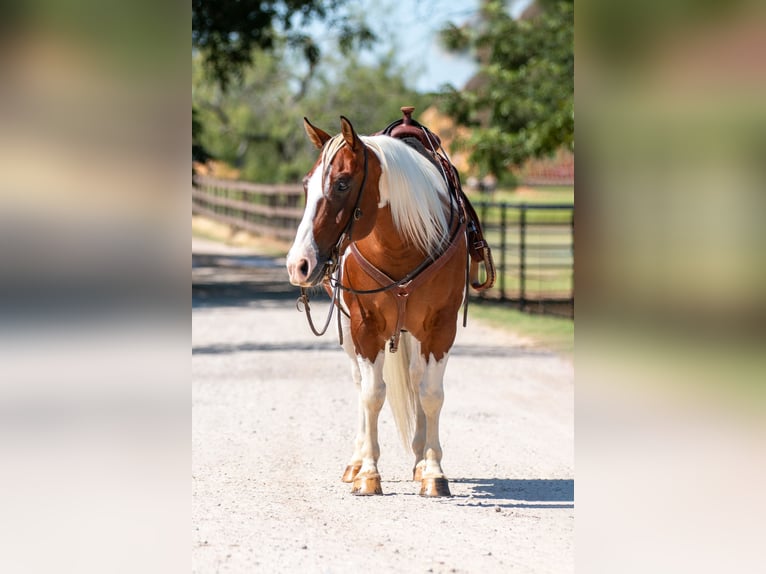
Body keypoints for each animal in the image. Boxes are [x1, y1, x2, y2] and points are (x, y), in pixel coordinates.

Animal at [286, 110, 492, 498]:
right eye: (307, 186)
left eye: (342, 184)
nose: (299, 264)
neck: (402, 245)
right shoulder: (365, 327)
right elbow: (371, 395)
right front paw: (368, 473)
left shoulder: (441, 328)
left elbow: (430, 394)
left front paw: (433, 472)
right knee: (360, 383)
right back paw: (355, 462)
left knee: (415, 379)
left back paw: (418, 460)